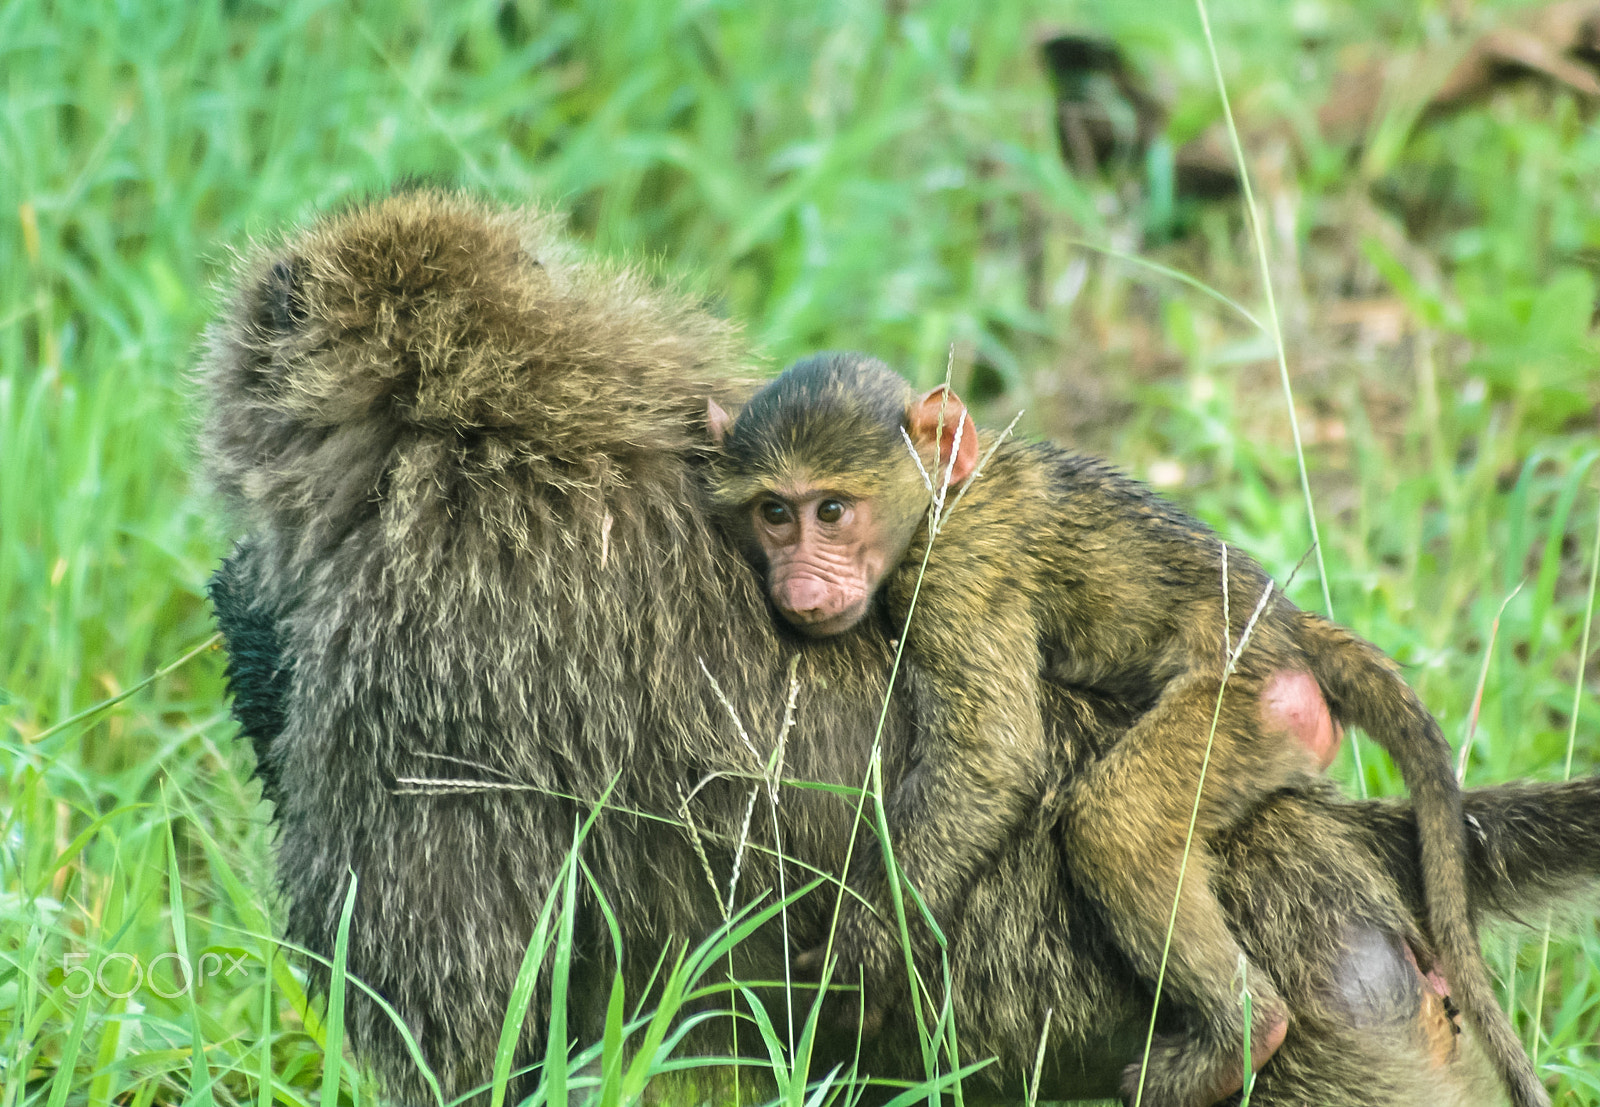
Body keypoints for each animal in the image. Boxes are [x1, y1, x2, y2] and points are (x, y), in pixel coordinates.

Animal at [706, 352, 1546, 1107]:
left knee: (1114, 824)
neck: (946, 494)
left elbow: (990, 757)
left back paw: (1241, 1033)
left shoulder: (957, 570)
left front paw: (854, 961)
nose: (798, 588)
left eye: (832, 511)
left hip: (1243, 709)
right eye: (773, 513)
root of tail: (1289, 627)